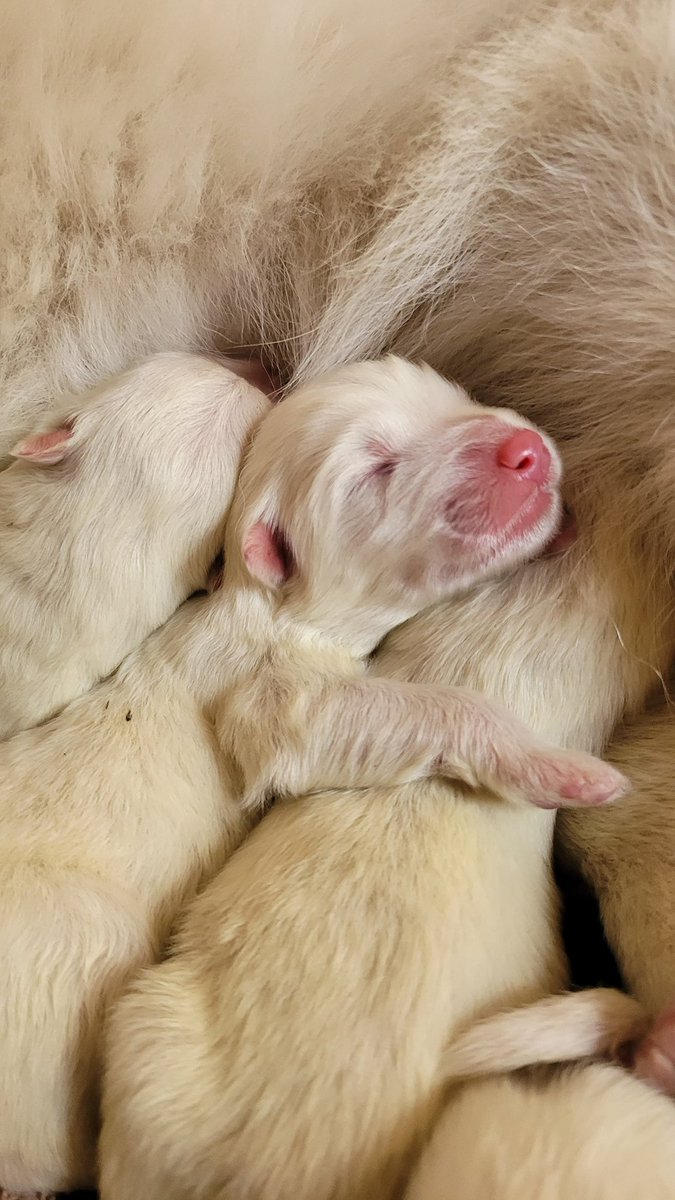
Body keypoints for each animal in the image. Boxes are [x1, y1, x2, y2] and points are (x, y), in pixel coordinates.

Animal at [97, 355, 624, 1200]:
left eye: (454, 397)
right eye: (375, 469)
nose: (522, 451)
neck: (269, 605)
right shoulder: (276, 700)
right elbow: (429, 707)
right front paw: (558, 768)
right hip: (145, 1035)